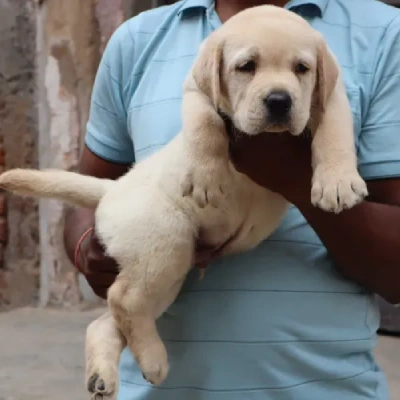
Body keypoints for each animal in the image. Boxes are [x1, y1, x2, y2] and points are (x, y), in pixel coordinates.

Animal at [0, 6, 368, 400]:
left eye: (302, 68)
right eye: (246, 66)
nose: (280, 101)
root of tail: (114, 189)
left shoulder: (331, 95)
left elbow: (335, 130)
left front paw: (337, 183)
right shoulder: (194, 90)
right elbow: (205, 124)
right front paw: (206, 176)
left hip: (168, 274)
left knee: (109, 318)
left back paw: (104, 375)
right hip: (165, 243)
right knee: (124, 298)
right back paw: (153, 360)